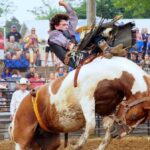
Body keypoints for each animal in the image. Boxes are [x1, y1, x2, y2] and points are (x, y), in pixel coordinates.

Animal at [9, 56, 150, 150]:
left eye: (143, 121)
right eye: (134, 115)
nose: (119, 134)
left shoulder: (107, 108)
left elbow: (107, 130)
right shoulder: (87, 99)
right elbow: (91, 124)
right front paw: (76, 145)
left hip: (49, 141)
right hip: (22, 138)